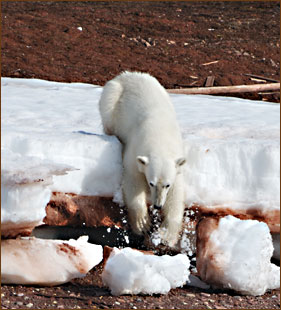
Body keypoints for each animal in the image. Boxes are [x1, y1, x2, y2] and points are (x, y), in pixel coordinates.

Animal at [98, 71, 186, 247]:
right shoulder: (135, 151)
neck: (160, 139)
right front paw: (142, 224)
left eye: (166, 184)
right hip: (113, 95)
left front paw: (166, 234)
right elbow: (132, 180)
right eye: (151, 183)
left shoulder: (176, 162)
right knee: (109, 115)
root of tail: (126, 74)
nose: (158, 205)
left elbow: (176, 193)